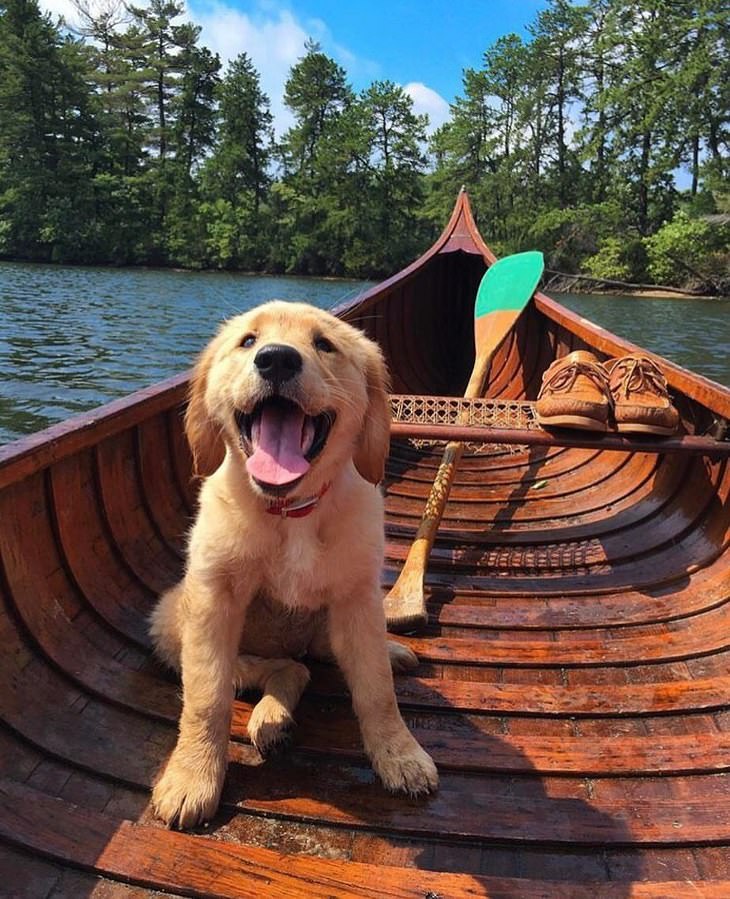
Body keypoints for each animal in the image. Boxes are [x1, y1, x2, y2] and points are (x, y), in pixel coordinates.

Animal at [145, 302, 436, 828]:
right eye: (247, 341)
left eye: (324, 344)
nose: (277, 359)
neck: (290, 510)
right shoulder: (213, 602)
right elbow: (206, 698)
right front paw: (192, 776)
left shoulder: (357, 600)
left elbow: (377, 691)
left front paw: (400, 755)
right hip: (170, 620)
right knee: (284, 669)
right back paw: (271, 717)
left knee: (320, 659)